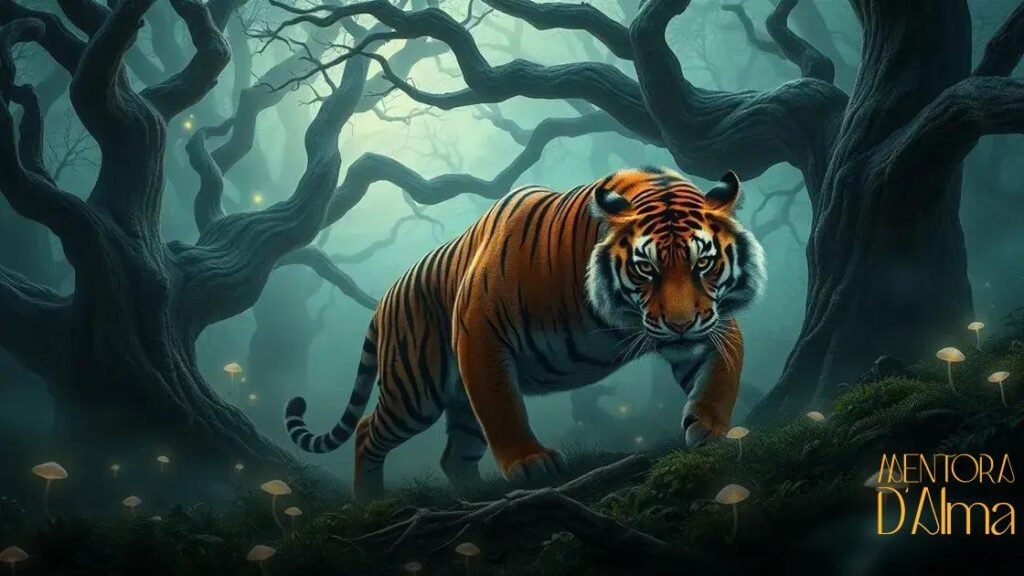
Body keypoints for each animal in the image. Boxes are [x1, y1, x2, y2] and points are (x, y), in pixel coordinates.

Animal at [284, 167, 766, 499]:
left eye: (703, 263)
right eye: (646, 268)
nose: (681, 326)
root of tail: (385, 297)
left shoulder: (714, 323)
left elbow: (723, 374)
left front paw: (711, 429)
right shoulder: (480, 332)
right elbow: (504, 408)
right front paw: (529, 462)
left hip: (458, 401)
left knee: (454, 455)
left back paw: (474, 494)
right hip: (415, 389)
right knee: (367, 431)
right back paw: (369, 500)